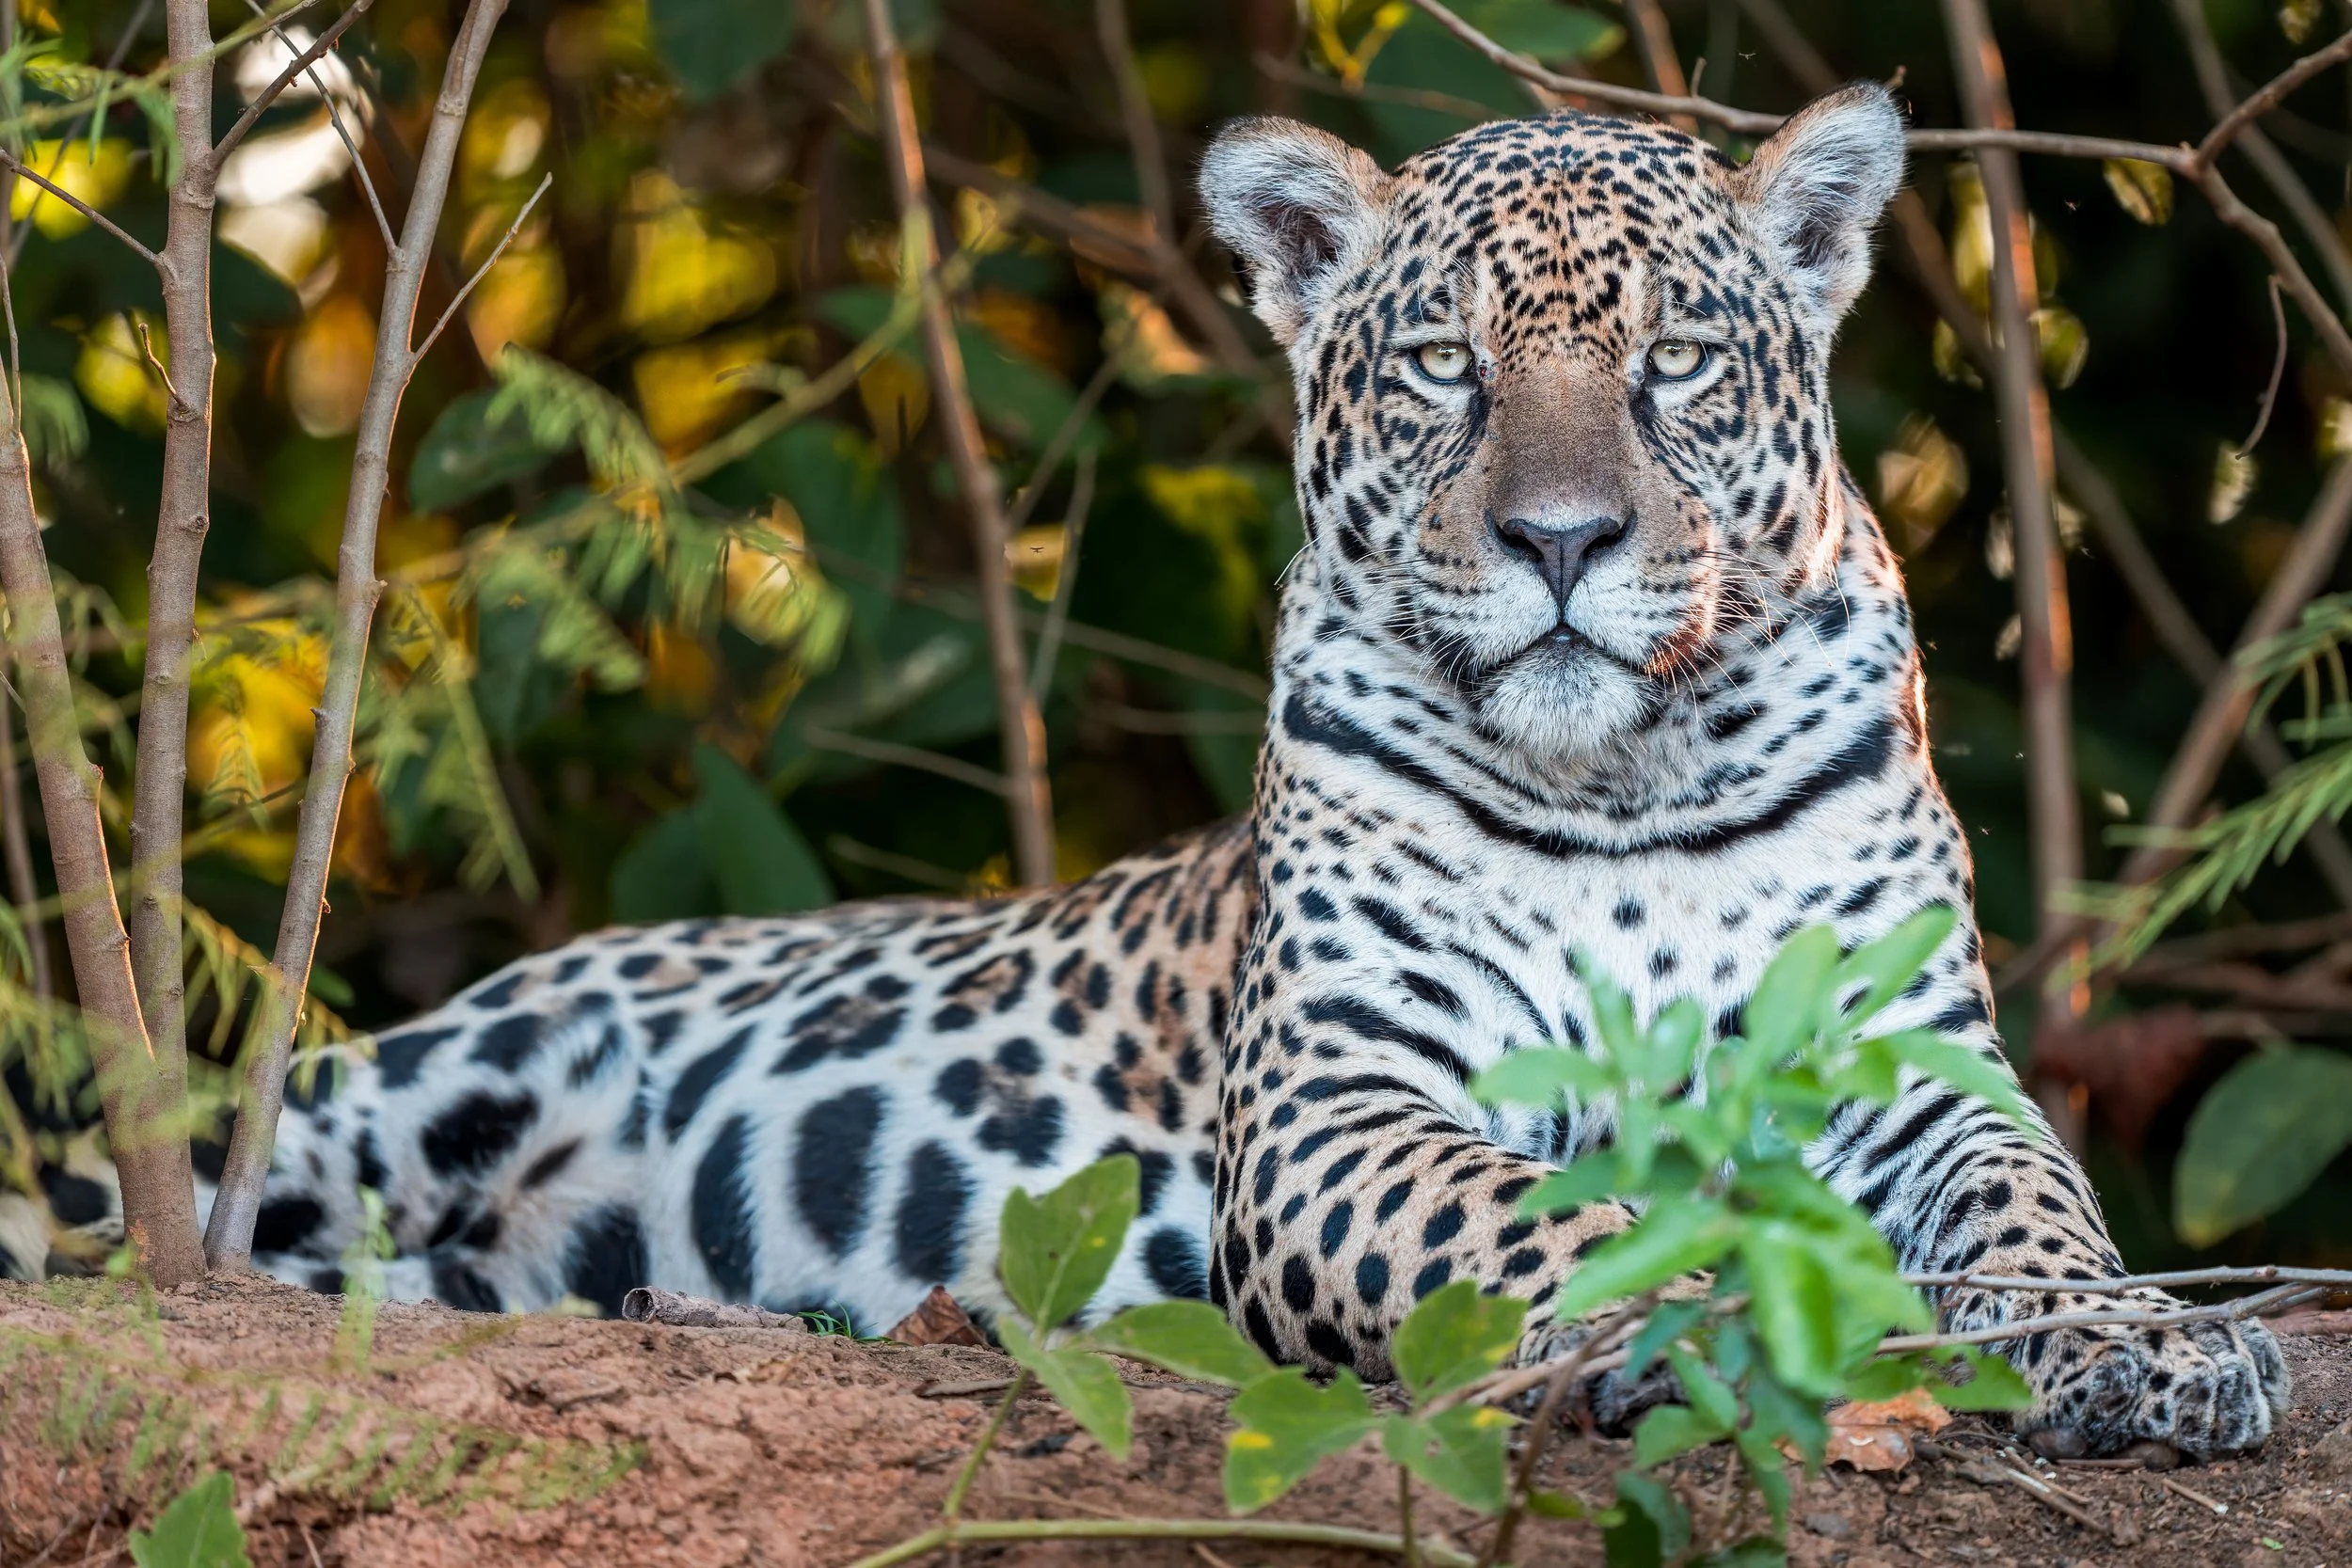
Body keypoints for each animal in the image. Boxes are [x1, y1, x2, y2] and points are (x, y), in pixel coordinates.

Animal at [4, 83, 2288, 1461]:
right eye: (1443, 364)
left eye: (1672, 369)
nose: (1560, 541)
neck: (1622, 784)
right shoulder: (1336, 1108)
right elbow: (1547, 1202)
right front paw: (1708, 1299)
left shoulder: (1910, 1064)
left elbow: (2029, 1202)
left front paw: (2148, 1342)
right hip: (398, 1083)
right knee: (127, 1202)